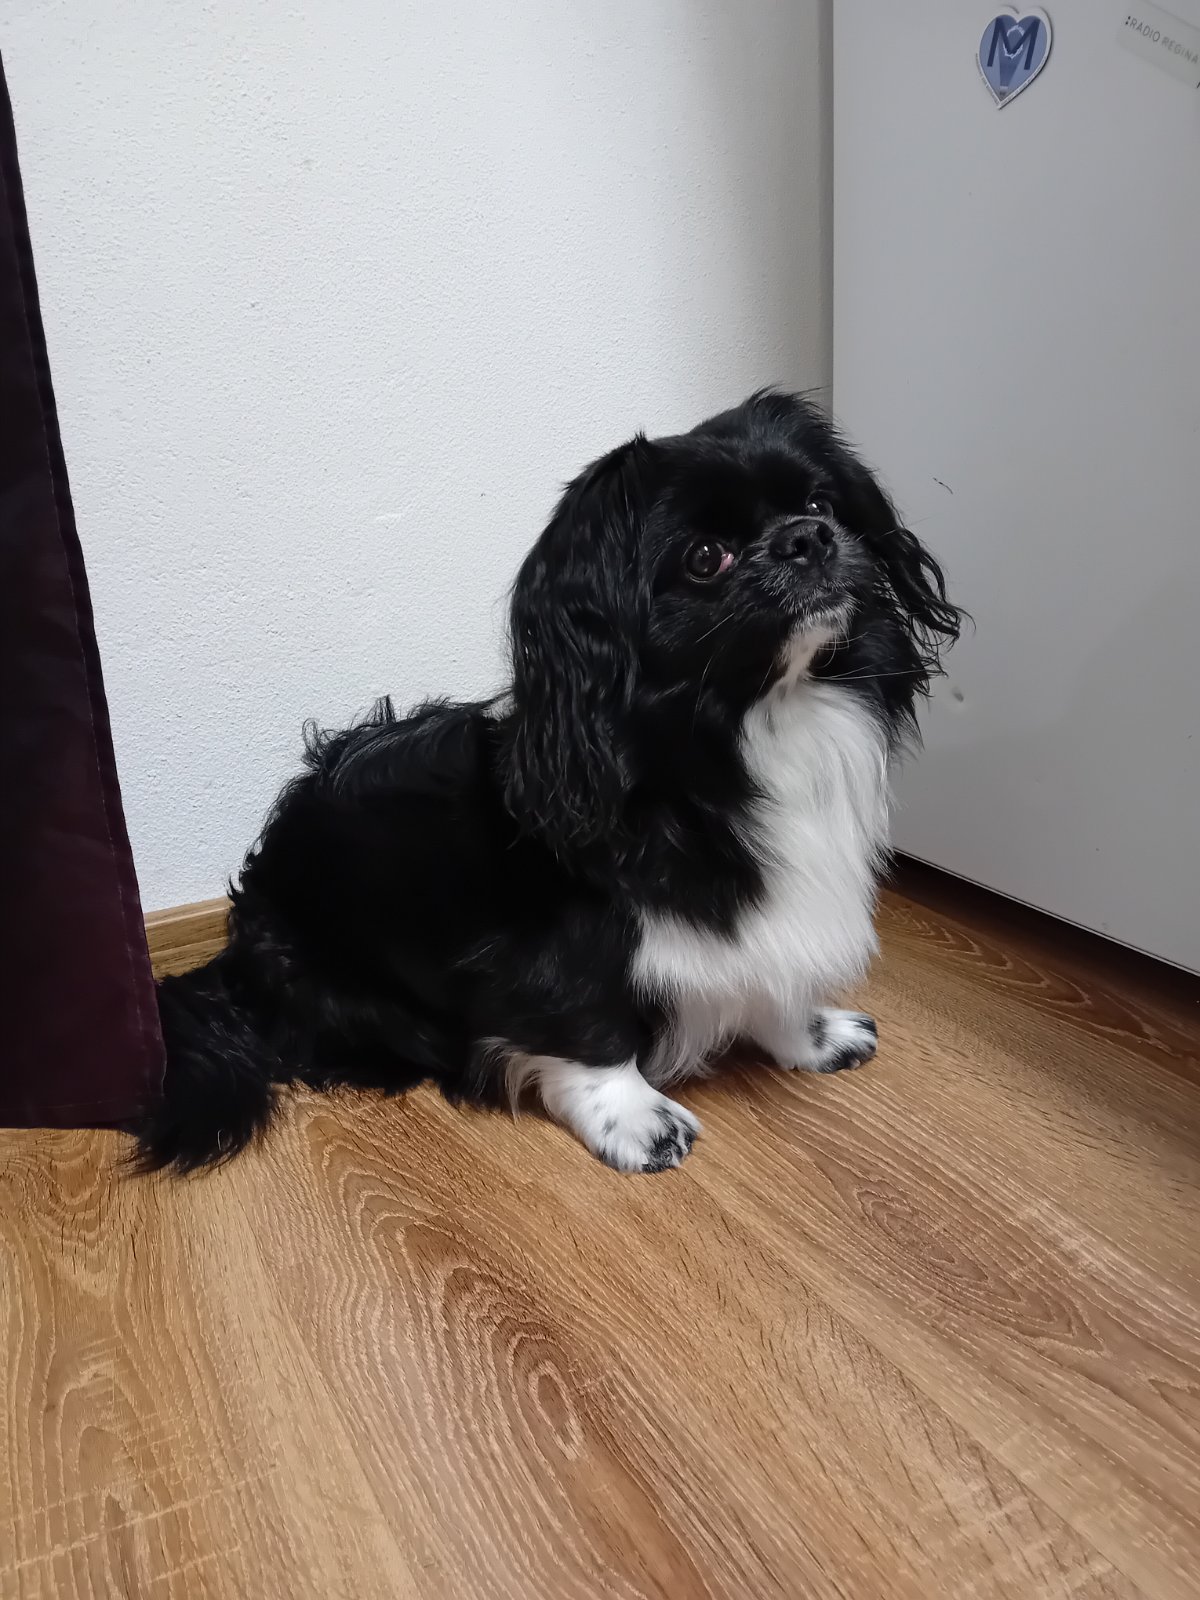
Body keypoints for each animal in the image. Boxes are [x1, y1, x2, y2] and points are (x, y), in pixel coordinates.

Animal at [135, 391, 960, 1174]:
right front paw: (634, 1119)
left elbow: (774, 970)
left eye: (820, 505)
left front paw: (811, 1034)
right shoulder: (566, 938)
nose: (808, 538)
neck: (757, 717)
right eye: (704, 558)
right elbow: (590, 1020)